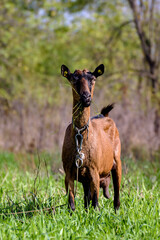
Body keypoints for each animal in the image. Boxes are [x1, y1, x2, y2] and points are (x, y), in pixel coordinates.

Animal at [61, 64, 121, 212]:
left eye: (93, 79)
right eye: (73, 79)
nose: (86, 97)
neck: (80, 136)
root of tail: (104, 115)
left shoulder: (94, 170)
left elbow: (95, 203)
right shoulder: (69, 171)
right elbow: (72, 203)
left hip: (117, 160)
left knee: (116, 191)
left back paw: (117, 211)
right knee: (86, 198)